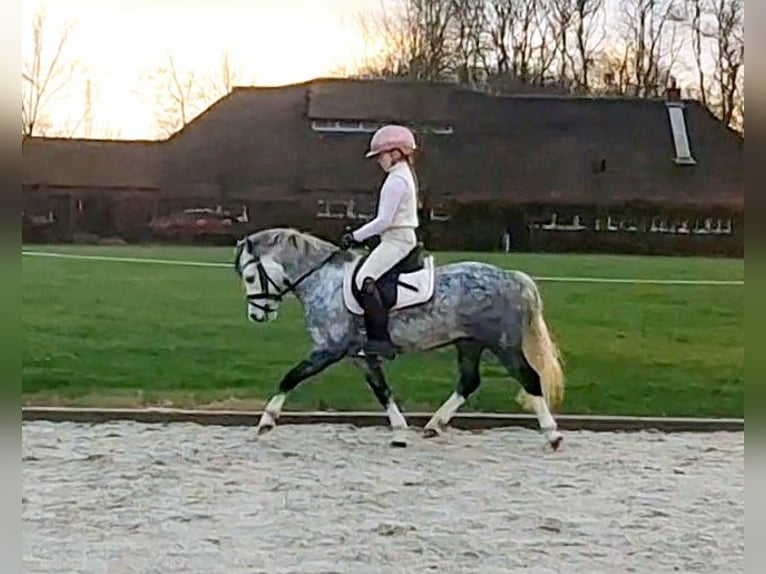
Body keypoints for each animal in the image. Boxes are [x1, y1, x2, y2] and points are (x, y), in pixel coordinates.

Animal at [232, 228, 564, 450]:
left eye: (249, 277)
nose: (258, 315)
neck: (323, 281)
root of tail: (511, 277)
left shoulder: (328, 349)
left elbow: (291, 377)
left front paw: (266, 421)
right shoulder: (360, 356)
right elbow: (382, 391)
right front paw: (400, 432)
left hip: (503, 344)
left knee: (529, 378)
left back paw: (552, 434)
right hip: (469, 343)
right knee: (469, 381)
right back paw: (434, 425)